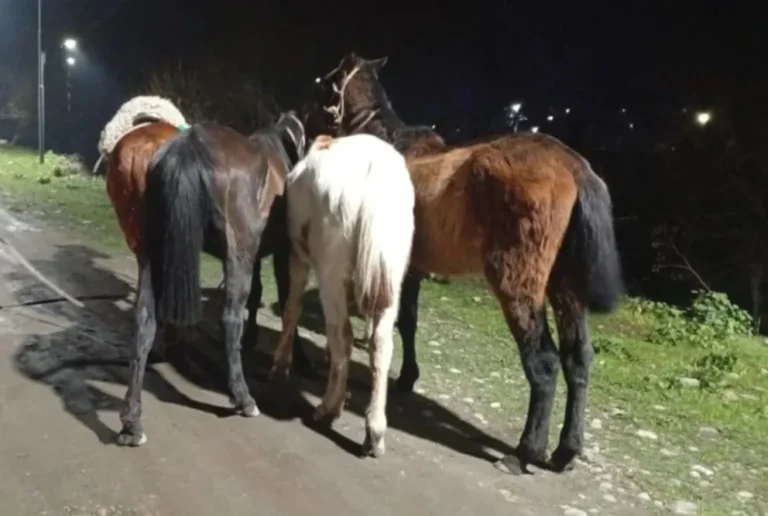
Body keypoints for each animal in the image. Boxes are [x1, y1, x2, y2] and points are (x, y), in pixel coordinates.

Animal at [116, 112, 306, 447]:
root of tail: (190, 147)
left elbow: (259, 295)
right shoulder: (277, 253)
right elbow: (286, 300)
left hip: (152, 251)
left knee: (144, 319)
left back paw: (132, 422)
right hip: (237, 253)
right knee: (230, 318)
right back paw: (243, 398)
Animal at [270, 133, 415, 458]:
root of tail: (377, 169)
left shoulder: (297, 258)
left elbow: (292, 308)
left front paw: (281, 364)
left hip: (331, 273)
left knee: (342, 336)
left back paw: (328, 408)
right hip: (392, 279)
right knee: (381, 346)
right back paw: (375, 431)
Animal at [304, 53, 623, 473]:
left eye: (327, 82)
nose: (307, 121)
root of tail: (576, 168)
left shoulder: (403, 270)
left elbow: (403, 321)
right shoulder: (412, 270)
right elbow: (408, 322)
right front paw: (406, 377)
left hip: (517, 283)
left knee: (545, 362)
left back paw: (525, 451)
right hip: (566, 287)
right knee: (578, 359)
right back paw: (566, 451)